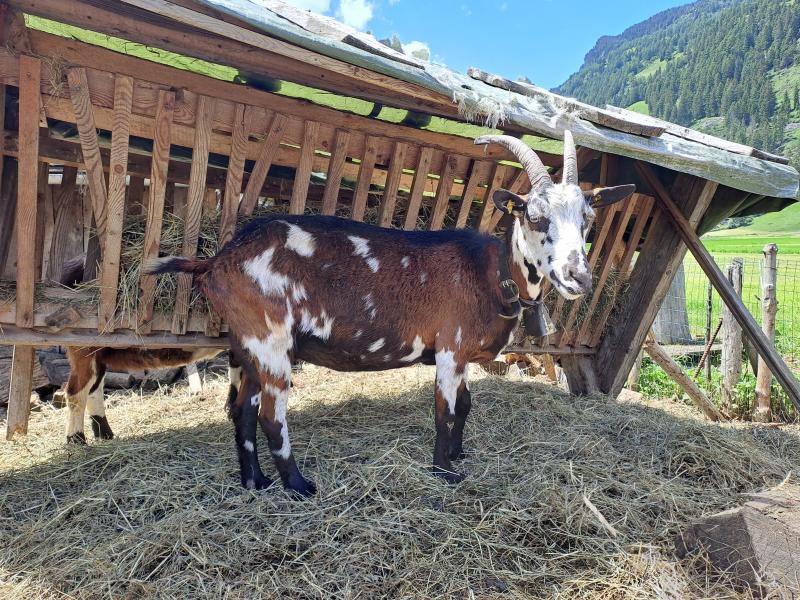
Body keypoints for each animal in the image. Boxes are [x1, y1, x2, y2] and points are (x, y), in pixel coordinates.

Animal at [147, 132, 636, 496]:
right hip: (270, 341)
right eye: (535, 217)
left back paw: (255, 481)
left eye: (588, 218)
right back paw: (299, 486)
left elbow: (466, 404)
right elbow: (446, 410)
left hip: (245, 346)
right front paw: (444, 471)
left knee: (241, 410)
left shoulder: (459, 356)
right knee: (270, 415)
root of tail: (217, 260)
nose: (578, 276)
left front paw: (458, 454)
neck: (492, 273)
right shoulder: (451, 348)